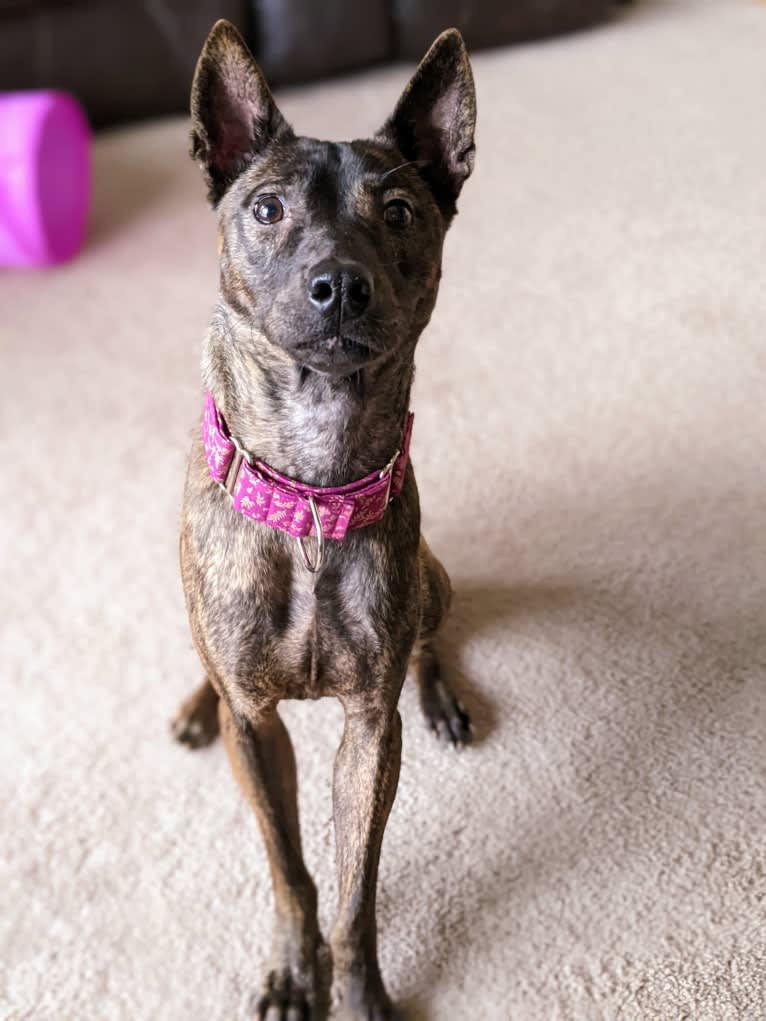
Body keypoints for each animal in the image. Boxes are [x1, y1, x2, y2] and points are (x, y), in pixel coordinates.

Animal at [172, 17, 480, 1021]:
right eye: (267, 209)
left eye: (401, 212)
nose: (338, 284)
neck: (310, 488)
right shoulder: (258, 731)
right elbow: (291, 869)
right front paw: (289, 969)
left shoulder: (367, 734)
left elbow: (354, 886)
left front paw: (357, 987)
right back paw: (191, 703)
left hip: (434, 577)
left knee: (427, 638)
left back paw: (441, 693)